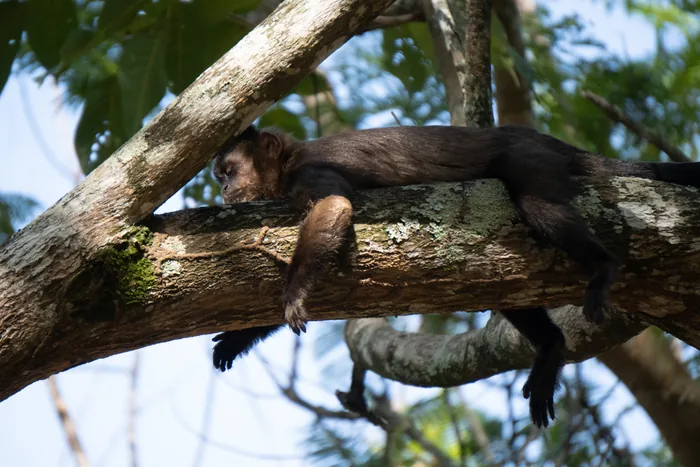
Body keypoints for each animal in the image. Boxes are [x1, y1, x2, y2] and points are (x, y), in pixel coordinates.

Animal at [210, 123, 700, 428]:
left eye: (228, 172)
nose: (225, 188)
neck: (289, 163)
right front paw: (237, 340)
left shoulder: (309, 173)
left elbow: (335, 207)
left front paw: (294, 292)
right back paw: (551, 347)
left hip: (529, 158)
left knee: (538, 204)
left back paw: (602, 268)